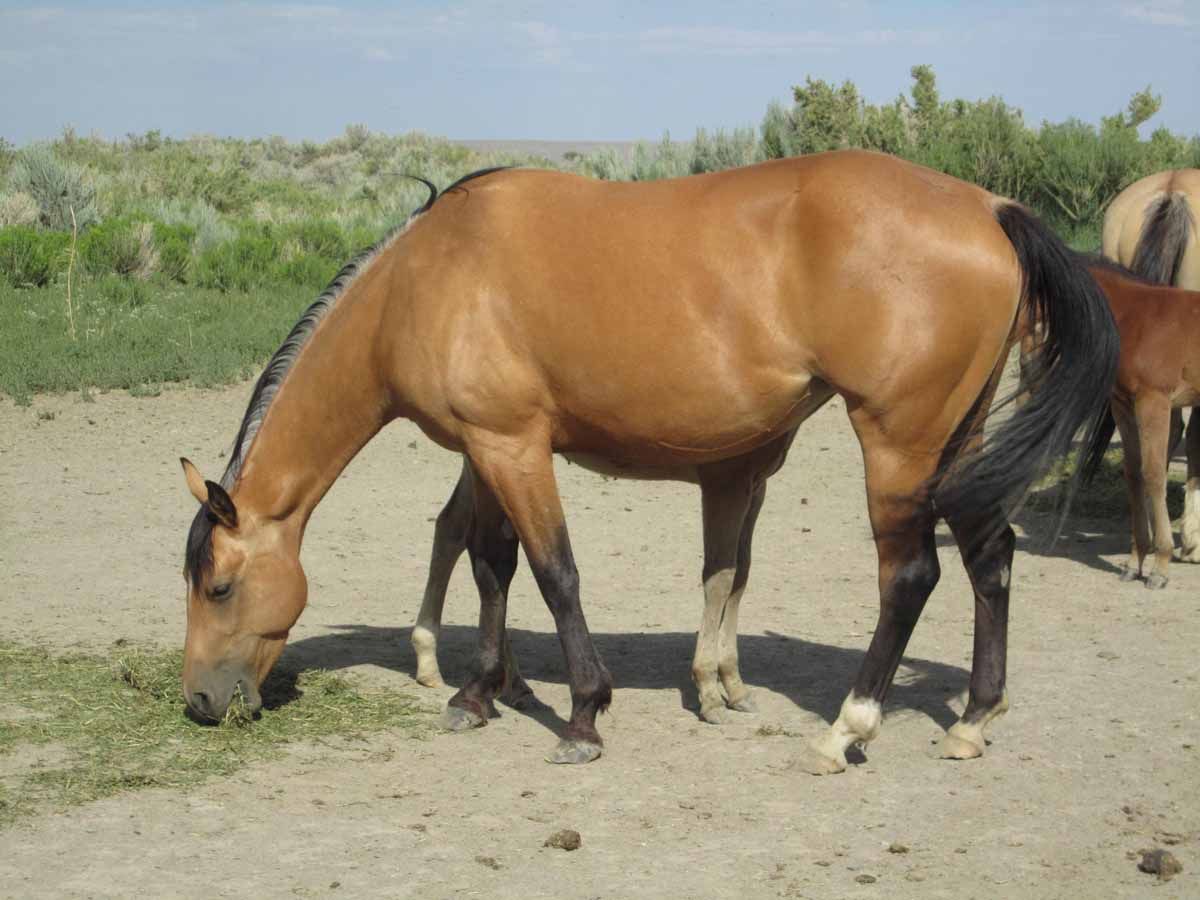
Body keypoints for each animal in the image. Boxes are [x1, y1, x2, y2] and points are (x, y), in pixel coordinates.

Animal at [178, 150, 1117, 774]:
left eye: (219, 586)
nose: (197, 701)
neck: (424, 280)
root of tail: (989, 207)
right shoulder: (484, 450)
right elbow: (491, 564)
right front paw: (478, 693)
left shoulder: (514, 445)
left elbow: (555, 572)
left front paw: (584, 715)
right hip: (960, 441)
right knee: (991, 558)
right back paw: (974, 719)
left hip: (898, 442)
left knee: (911, 577)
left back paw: (847, 728)